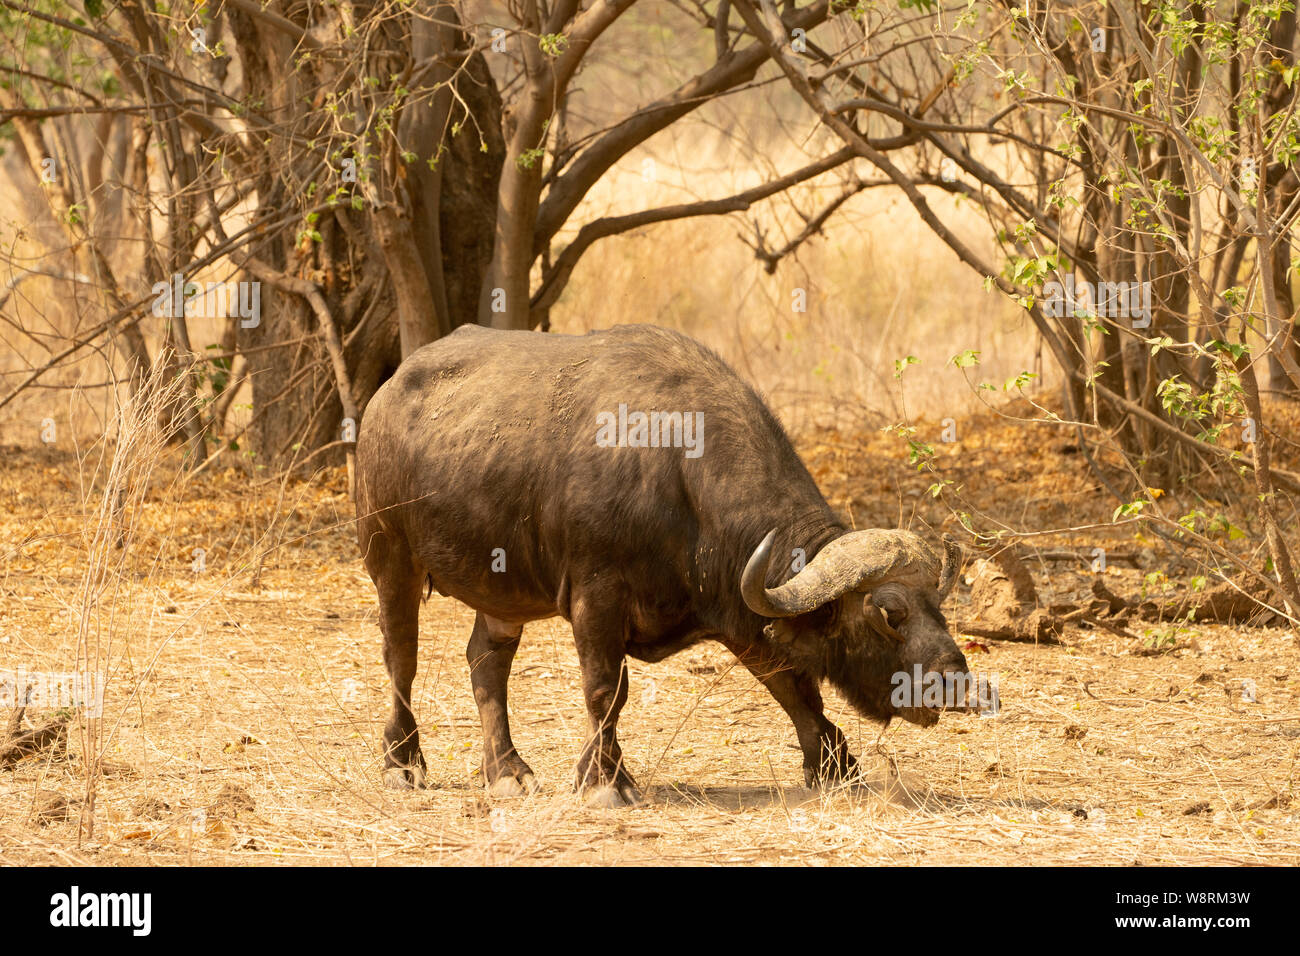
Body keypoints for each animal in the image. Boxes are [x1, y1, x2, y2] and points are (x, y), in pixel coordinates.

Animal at [358, 323, 977, 806]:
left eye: (938, 606)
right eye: (888, 613)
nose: (953, 681)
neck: (680, 470)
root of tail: (384, 396)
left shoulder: (738, 608)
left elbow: (793, 685)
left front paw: (833, 765)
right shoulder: (596, 596)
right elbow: (606, 690)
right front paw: (605, 780)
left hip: (499, 594)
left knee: (486, 664)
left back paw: (507, 771)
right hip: (389, 557)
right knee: (400, 659)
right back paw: (402, 763)